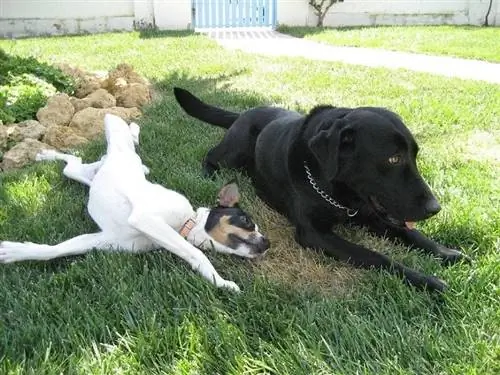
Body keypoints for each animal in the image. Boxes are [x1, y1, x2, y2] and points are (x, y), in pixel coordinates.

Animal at [0, 114, 270, 290]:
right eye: (246, 220)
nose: (267, 243)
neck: (187, 222)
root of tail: (111, 157)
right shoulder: (146, 218)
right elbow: (195, 253)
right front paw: (221, 282)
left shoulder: (104, 240)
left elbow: (54, 250)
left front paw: (15, 251)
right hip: (116, 135)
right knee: (119, 132)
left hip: (85, 175)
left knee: (73, 164)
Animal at [174, 86, 466, 292]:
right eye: (393, 159)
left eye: (415, 155)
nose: (435, 208)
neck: (337, 193)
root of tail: (246, 112)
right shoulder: (314, 233)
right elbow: (374, 255)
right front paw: (427, 280)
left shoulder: (372, 214)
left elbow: (412, 234)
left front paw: (448, 253)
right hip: (232, 152)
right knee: (210, 156)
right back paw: (208, 173)